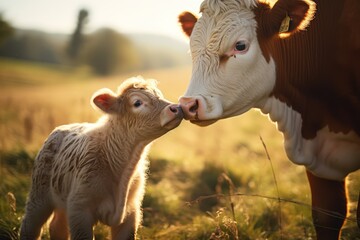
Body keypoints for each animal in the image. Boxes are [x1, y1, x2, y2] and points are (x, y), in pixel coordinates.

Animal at [20, 77, 183, 240]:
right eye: (137, 102)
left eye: (159, 95)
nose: (176, 108)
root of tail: (61, 128)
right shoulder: (80, 209)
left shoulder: (131, 212)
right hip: (39, 195)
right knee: (30, 225)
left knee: (57, 227)